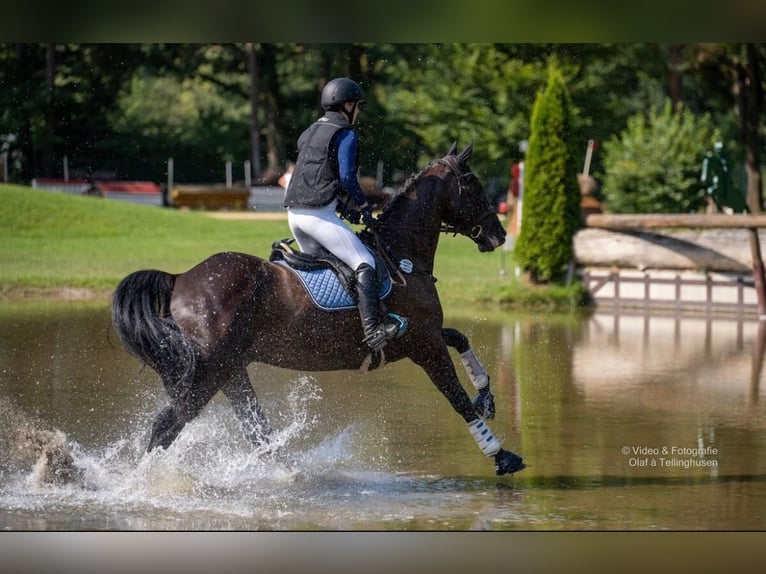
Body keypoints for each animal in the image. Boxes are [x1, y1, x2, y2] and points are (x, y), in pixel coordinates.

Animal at [111, 143, 524, 476]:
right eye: (474, 186)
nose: (499, 235)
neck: (402, 256)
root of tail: (180, 278)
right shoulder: (425, 346)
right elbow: (457, 400)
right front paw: (501, 456)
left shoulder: (422, 336)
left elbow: (461, 339)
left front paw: (486, 394)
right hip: (206, 374)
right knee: (167, 426)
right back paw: (143, 483)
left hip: (231, 370)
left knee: (255, 428)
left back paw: (291, 473)